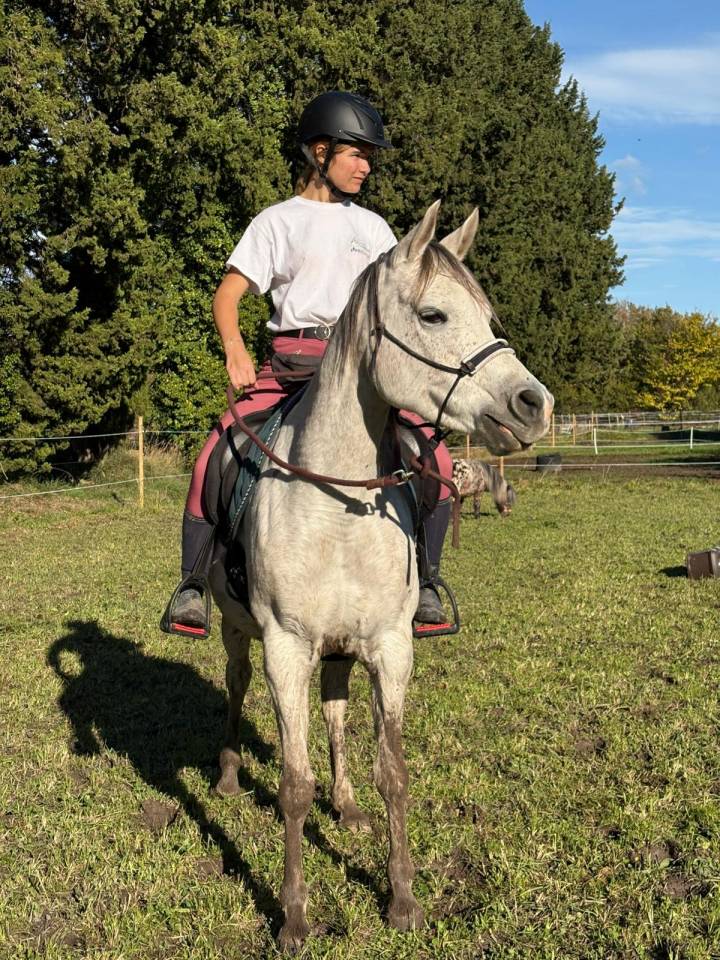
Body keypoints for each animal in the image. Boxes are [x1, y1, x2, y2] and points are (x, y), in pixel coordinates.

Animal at [208, 201, 553, 949]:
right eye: (433, 315)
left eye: (486, 314)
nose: (533, 404)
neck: (338, 501)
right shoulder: (285, 649)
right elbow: (293, 784)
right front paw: (294, 917)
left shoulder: (390, 647)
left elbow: (392, 772)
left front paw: (401, 899)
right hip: (236, 630)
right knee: (235, 685)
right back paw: (226, 775)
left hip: (341, 649)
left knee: (336, 713)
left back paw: (345, 803)